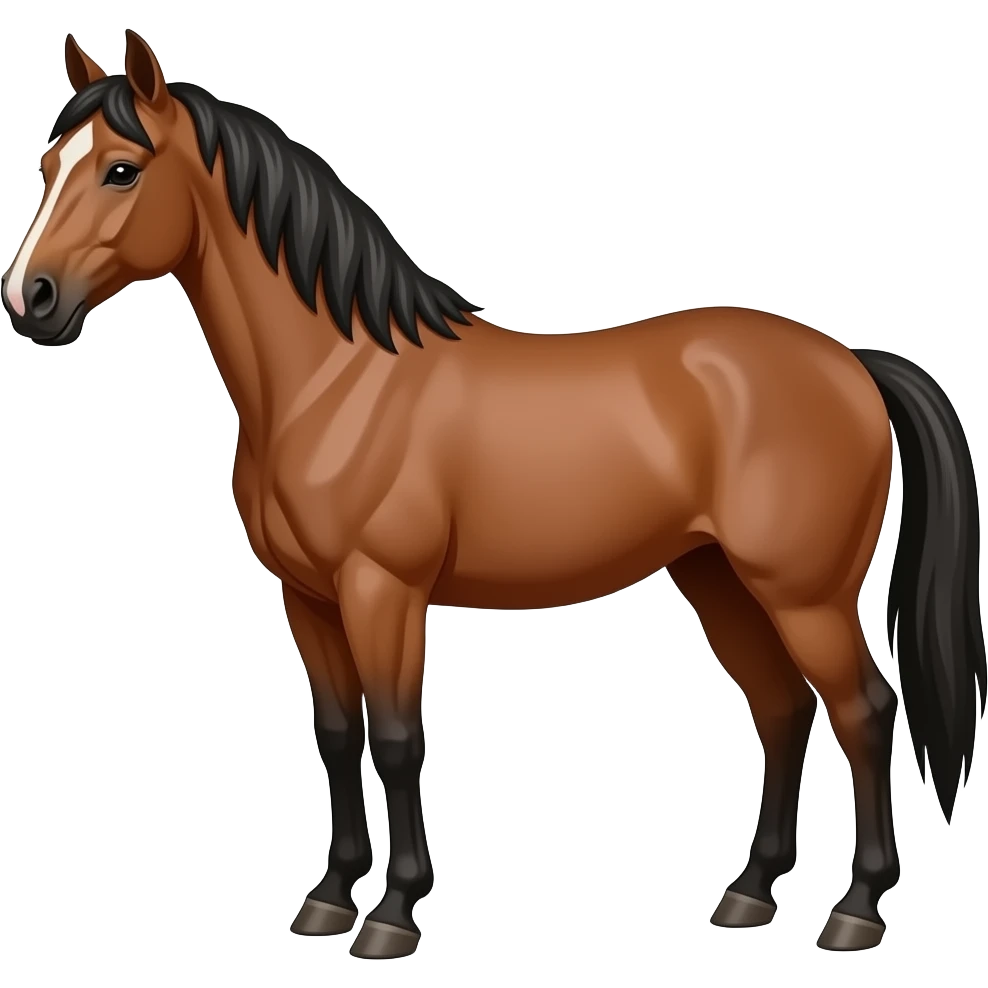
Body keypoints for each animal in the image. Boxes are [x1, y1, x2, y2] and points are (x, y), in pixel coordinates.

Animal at [2, 30, 984, 959]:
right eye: (47, 167)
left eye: (122, 170)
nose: (30, 299)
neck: (337, 378)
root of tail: (850, 362)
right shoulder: (307, 598)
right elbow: (338, 736)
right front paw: (329, 898)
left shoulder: (383, 591)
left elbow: (398, 738)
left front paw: (392, 913)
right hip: (719, 580)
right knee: (782, 710)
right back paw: (749, 894)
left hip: (804, 594)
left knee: (864, 713)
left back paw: (856, 910)